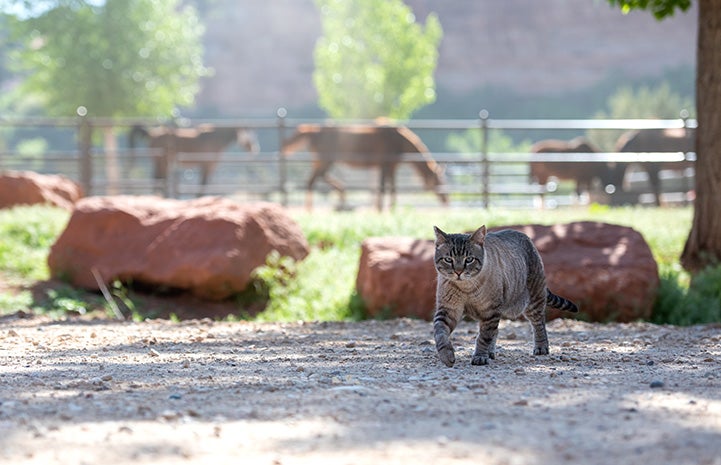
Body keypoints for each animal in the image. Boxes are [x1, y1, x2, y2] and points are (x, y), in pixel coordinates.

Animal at [129, 124, 258, 195]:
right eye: (247, 135)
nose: (254, 149)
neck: (215, 138)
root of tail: (152, 133)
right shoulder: (207, 166)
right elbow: (202, 186)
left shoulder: (210, 167)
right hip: (161, 162)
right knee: (159, 180)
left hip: (162, 163)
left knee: (160, 180)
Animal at [280, 123, 444, 210]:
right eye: (438, 181)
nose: (446, 199)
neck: (399, 140)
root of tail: (313, 131)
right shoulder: (385, 165)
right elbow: (383, 187)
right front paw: (380, 208)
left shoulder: (391, 166)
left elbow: (392, 187)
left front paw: (391, 207)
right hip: (325, 160)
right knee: (313, 180)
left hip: (320, 161)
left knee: (315, 179)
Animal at [430, 225, 576, 366]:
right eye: (448, 260)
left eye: (469, 259)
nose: (458, 272)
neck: (466, 288)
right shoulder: (448, 310)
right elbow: (440, 333)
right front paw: (446, 355)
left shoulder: (490, 311)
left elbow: (484, 337)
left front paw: (480, 356)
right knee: (495, 331)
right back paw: (490, 352)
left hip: (533, 301)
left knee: (539, 324)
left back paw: (541, 347)